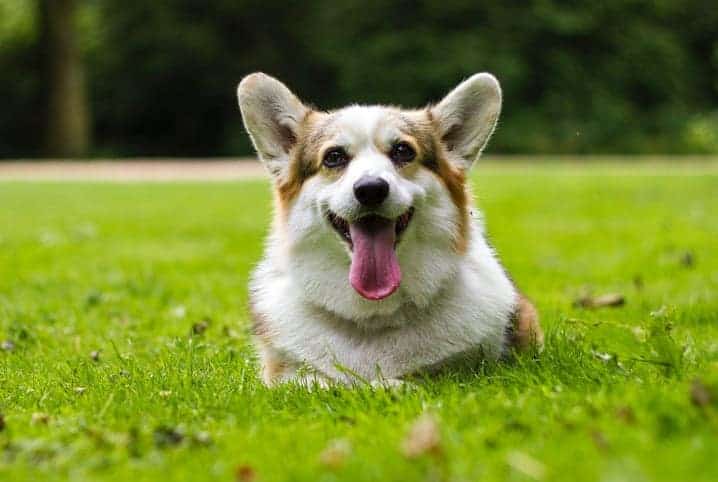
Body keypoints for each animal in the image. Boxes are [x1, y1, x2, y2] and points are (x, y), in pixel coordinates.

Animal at [239, 72, 544, 388]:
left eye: (403, 151)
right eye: (334, 157)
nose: (371, 189)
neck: (374, 316)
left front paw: (390, 385)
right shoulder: (285, 376)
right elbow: (317, 383)